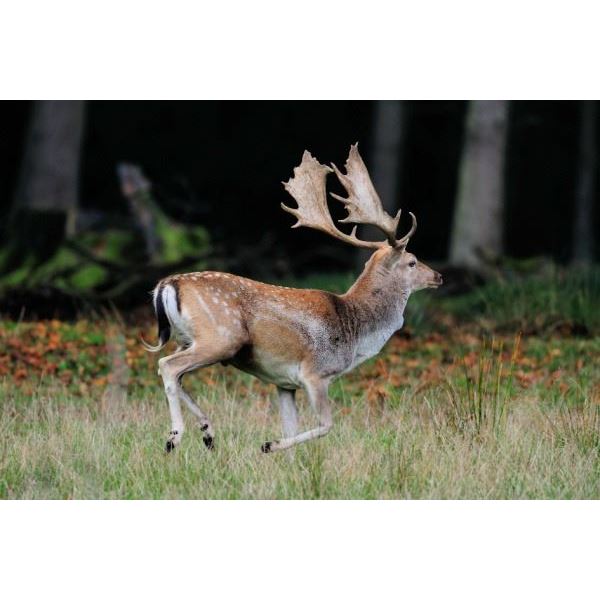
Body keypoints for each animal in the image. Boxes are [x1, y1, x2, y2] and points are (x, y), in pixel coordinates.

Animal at [142, 144, 443, 453]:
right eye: (412, 261)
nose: (438, 276)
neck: (354, 331)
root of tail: (167, 284)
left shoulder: (284, 384)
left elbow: (290, 429)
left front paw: (277, 452)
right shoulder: (315, 373)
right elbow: (326, 425)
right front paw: (267, 445)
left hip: (188, 339)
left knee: (175, 373)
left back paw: (208, 432)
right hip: (221, 337)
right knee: (167, 366)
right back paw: (174, 436)